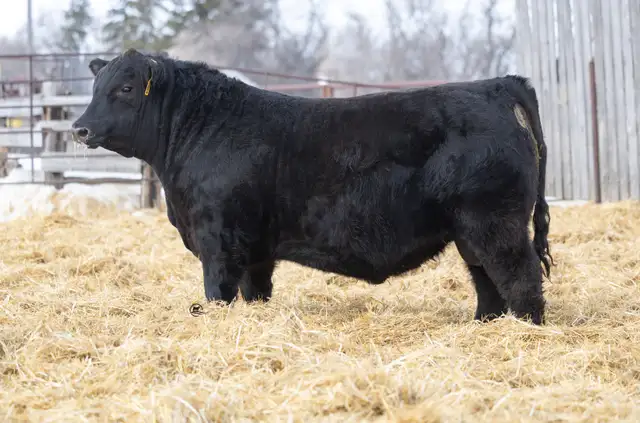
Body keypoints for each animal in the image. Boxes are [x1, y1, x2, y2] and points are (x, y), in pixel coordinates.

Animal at [71, 48, 553, 325]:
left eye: (126, 87)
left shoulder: (218, 239)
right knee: (487, 281)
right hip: (469, 230)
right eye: (95, 85)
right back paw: (483, 326)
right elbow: (254, 294)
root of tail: (495, 86)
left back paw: (523, 330)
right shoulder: (255, 249)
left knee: (519, 277)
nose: (79, 128)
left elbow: (218, 293)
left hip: (494, 222)